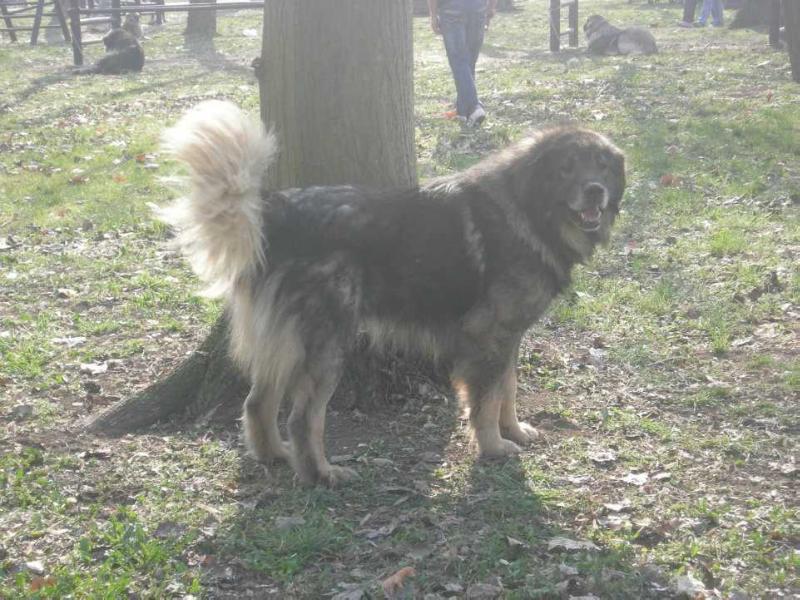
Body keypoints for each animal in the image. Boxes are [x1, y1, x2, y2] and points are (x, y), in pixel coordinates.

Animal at [158, 101, 624, 488]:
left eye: (602, 165)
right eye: (567, 168)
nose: (595, 190)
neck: (529, 209)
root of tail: (274, 210)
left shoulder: (509, 336)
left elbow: (507, 387)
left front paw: (514, 430)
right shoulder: (488, 334)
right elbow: (486, 400)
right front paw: (493, 446)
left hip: (286, 344)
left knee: (257, 402)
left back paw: (275, 455)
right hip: (328, 346)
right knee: (302, 417)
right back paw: (321, 474)